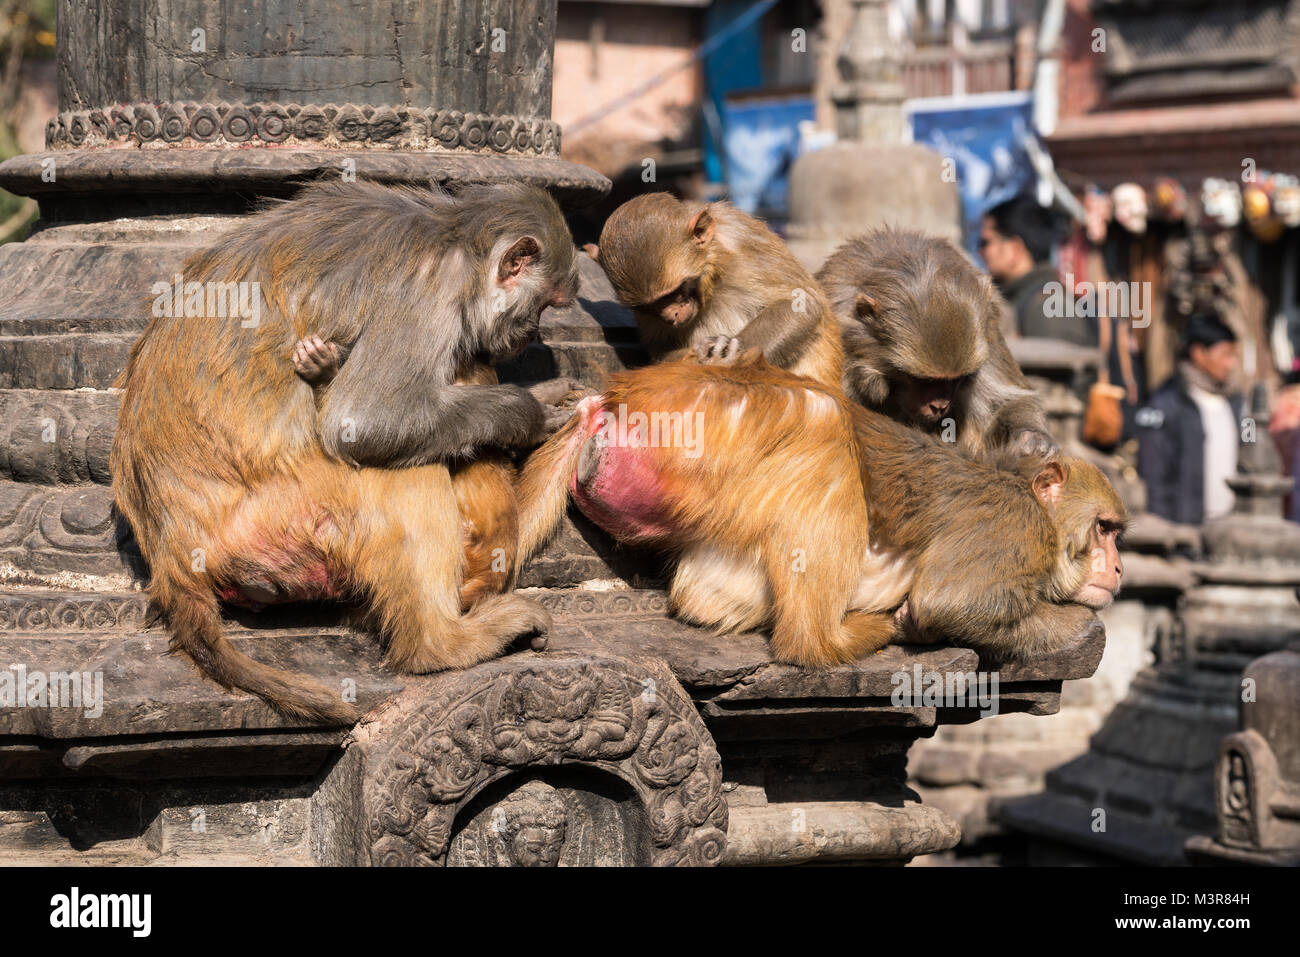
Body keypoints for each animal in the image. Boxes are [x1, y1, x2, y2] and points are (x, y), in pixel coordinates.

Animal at [111, 179, 579, 722]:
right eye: (543, 304)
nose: (535, 334)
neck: (455, 237)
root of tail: (172, 553)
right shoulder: (427, 293)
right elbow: (365, 422)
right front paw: (530, 414)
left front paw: (545, 394)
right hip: (289, 512)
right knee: (400, 465)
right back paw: (440, 644)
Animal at [517, 348, 1128, 665]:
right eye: (1105, 529)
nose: (1119, 567)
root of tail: (613, 398)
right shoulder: (1015, 530)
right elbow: (950, 602)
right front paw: (1078, 627)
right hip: (694, 426)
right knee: (825, 425)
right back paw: (832, 640)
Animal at [587, 192, 842, 390]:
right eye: (647, 306)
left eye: (675, 292)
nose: (670, 315)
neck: (712, 262)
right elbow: (659, 351)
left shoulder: (742, 245)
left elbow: (802, 305)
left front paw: (733, 353)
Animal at [821, 227, 1055, 460]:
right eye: (923, 380)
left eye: (957, 379)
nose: (939, 406)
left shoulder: (988, 327)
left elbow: (1006, 399)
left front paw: (1032, 439)